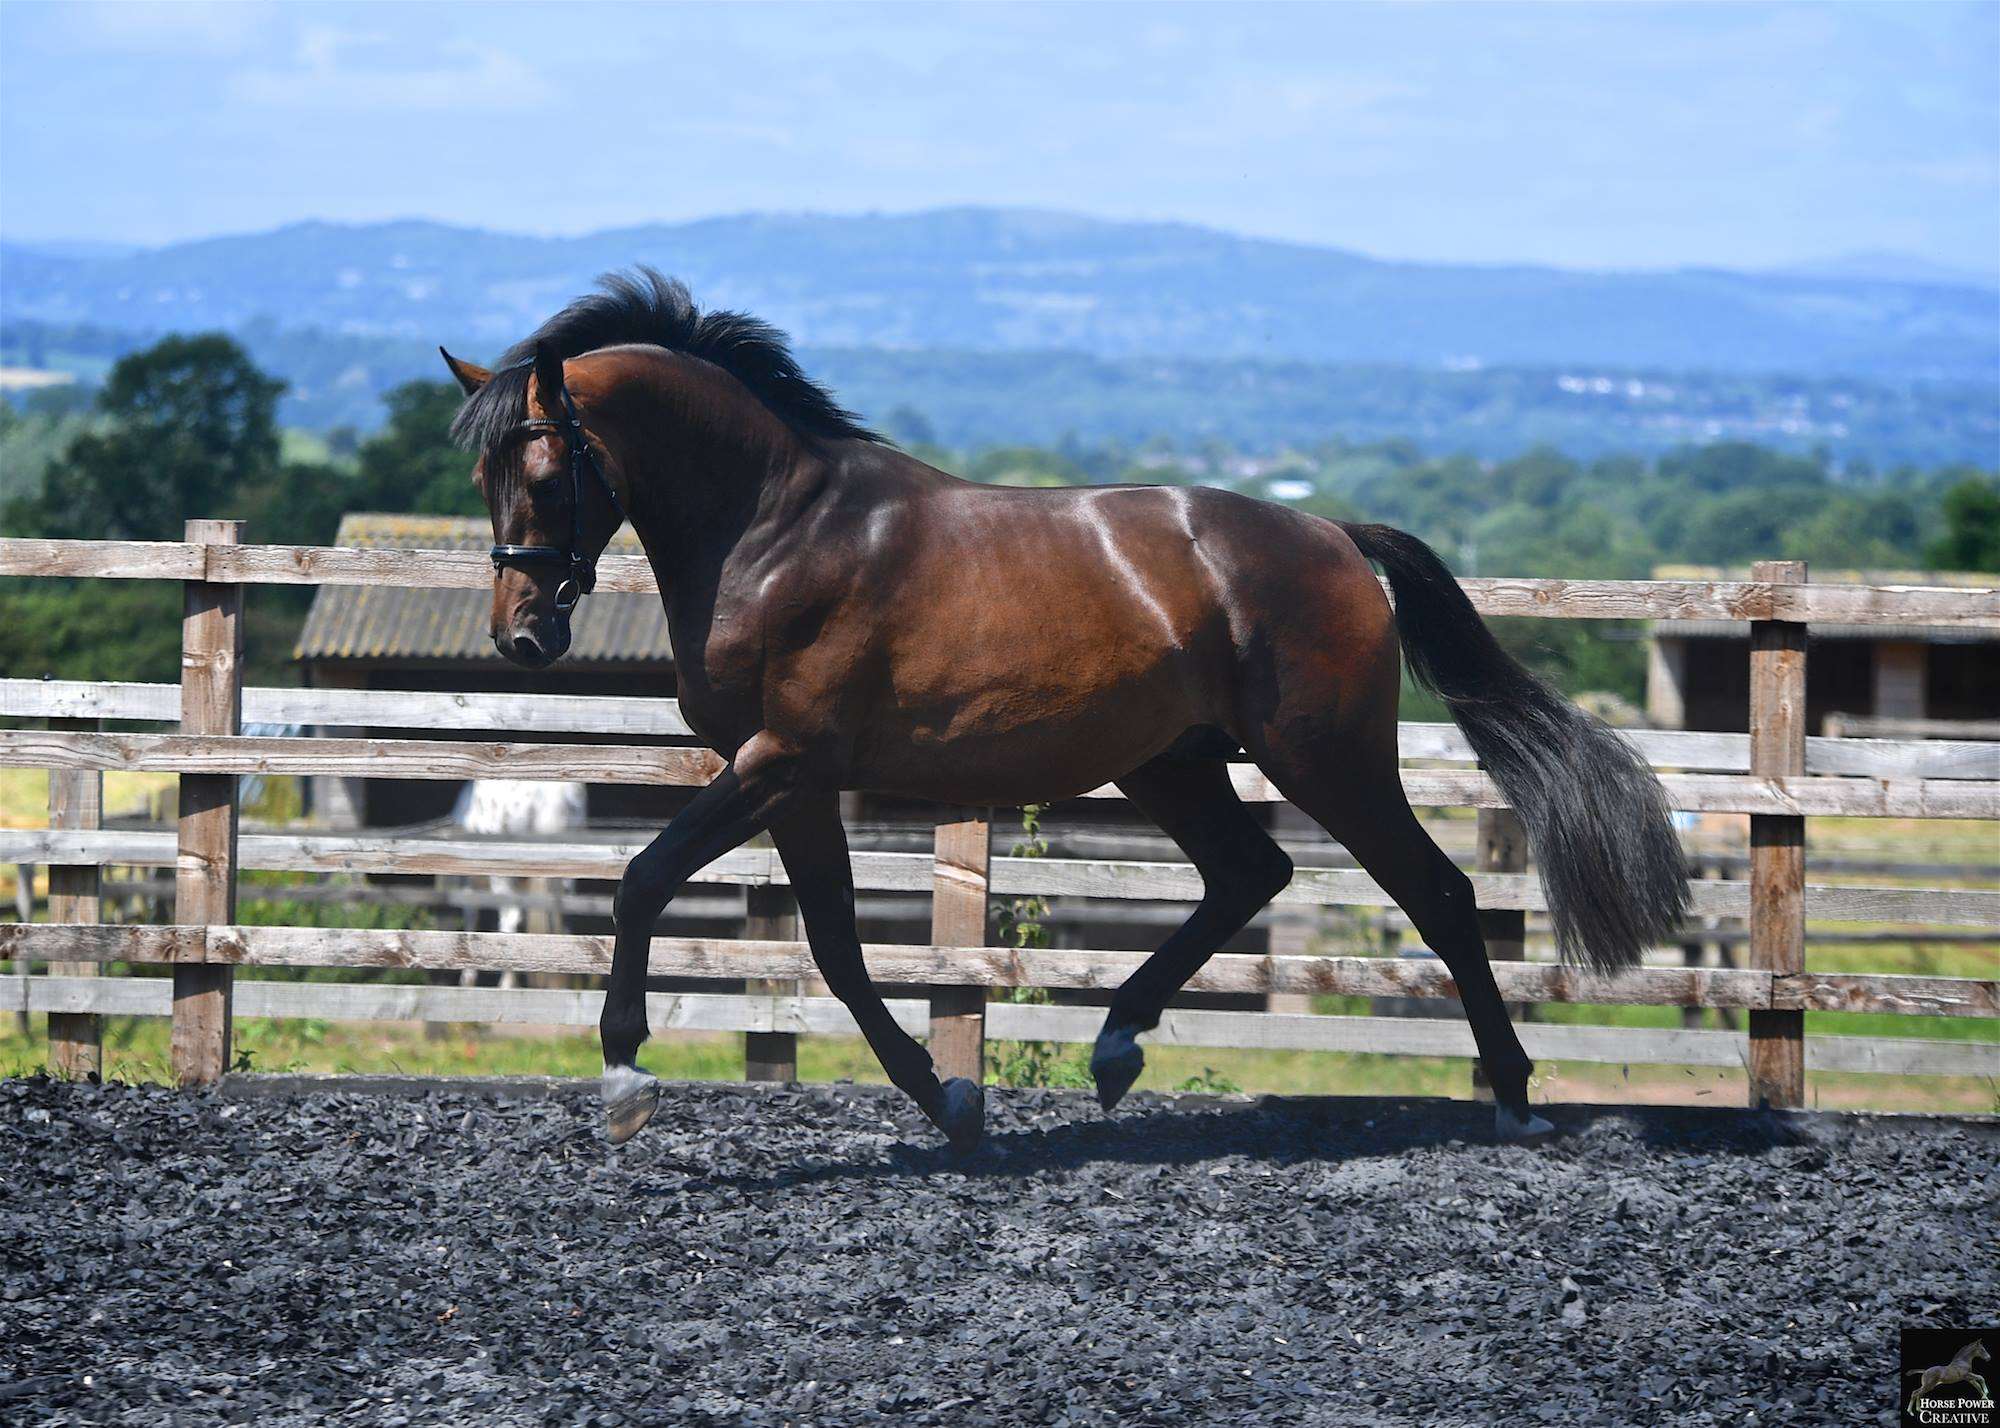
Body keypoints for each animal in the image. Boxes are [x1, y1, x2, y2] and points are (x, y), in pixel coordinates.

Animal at [442, 268, 1688, 1152]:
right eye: (482, 478)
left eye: (544, 471)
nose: (523, 636)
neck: (777, 530)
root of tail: (1333, 535)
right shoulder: (792, 781)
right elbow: (835, 948)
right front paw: (949, 1104)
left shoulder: (776, 762)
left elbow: (644, 879)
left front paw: (624, 1080)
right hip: (1170, 762)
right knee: (1250, 875)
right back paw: (1114, 1048)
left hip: (1322, 758)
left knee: (1435, 894)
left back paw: (1515, 1099)